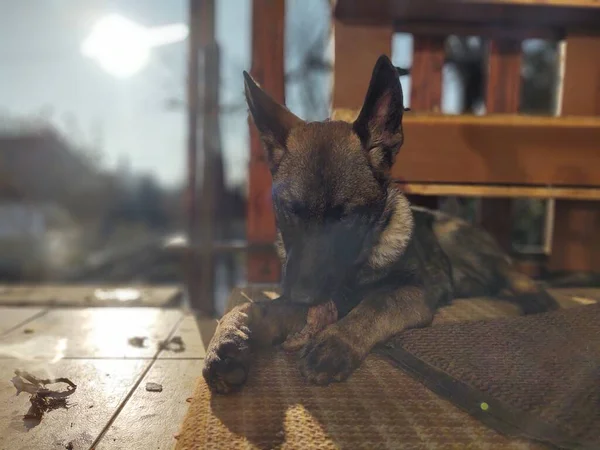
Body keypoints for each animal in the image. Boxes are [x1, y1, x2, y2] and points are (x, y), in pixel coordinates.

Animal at [204, 53, 560, 394]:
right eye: (289, 210)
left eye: (346, 217)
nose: (302, 297)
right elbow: (255, 307)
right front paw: (229, 340)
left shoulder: (415, 289)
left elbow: (378, 301)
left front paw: (337, 341)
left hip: (454, 238)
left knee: (514, 275)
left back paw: (537, 301)